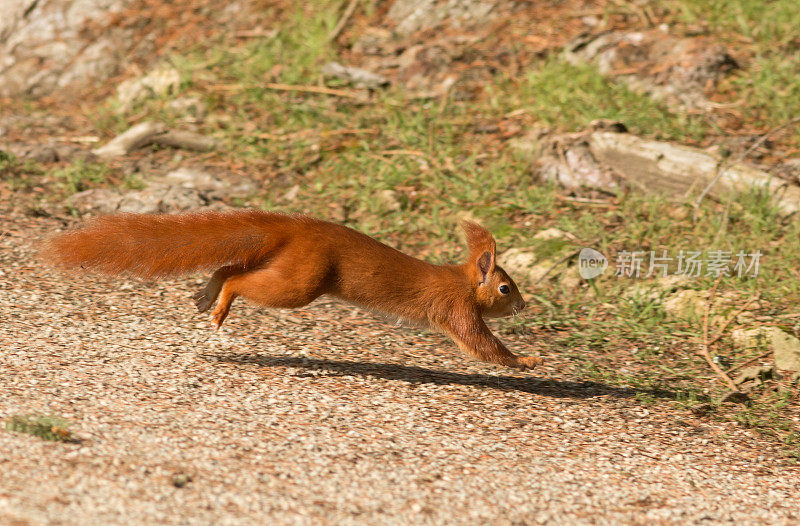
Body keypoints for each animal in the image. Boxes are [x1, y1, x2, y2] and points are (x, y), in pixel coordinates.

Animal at [43, 210, 544, 372]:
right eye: (506, 287)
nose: (524, 305)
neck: (460, 279)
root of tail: (296, 228)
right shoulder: (457, 309)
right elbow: (481, 345)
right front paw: (528, 360)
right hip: (301, 282)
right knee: (241, 279)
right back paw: (220, 307)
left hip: (287, 265)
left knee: (231, 265)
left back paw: (208, 295)